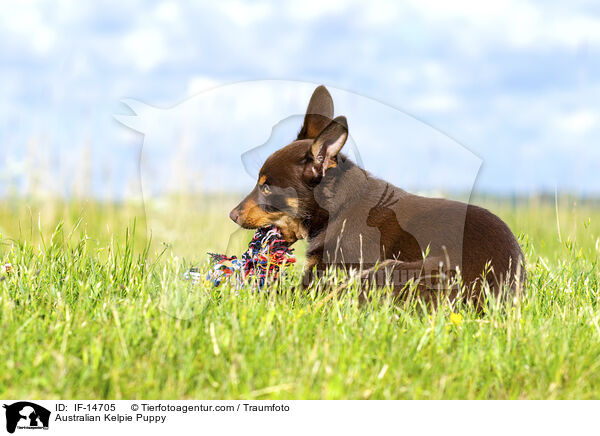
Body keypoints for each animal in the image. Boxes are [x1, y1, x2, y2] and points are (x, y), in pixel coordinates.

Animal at [230, 84, 524, 304]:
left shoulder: (323, 278)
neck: (339, 208)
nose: (232, 215)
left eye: (266, 187)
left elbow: (278, 293)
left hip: (387, 272)